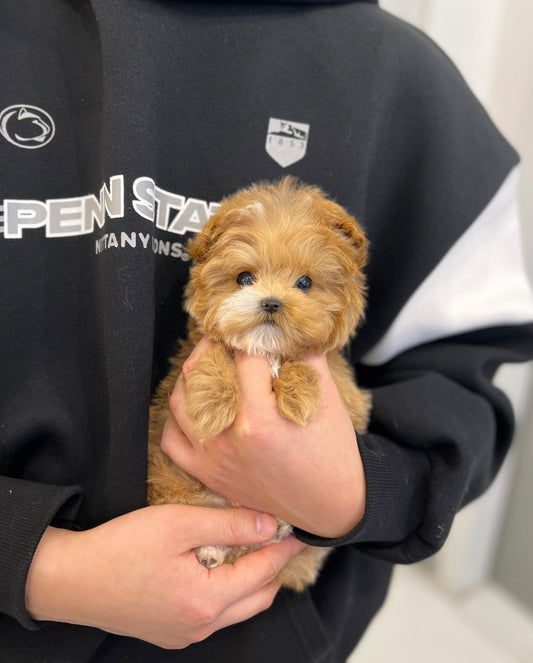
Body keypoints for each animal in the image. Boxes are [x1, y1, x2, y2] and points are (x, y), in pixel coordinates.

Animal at [145, 176, 370, 592]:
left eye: (304, 283)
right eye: (244, 278)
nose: (271, 302)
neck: (268, 352)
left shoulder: (348, 394)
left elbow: (307, 364)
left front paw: (298, 395)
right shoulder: (195, 355)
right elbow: (218, 350)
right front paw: (212, 404)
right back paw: (213, 549)